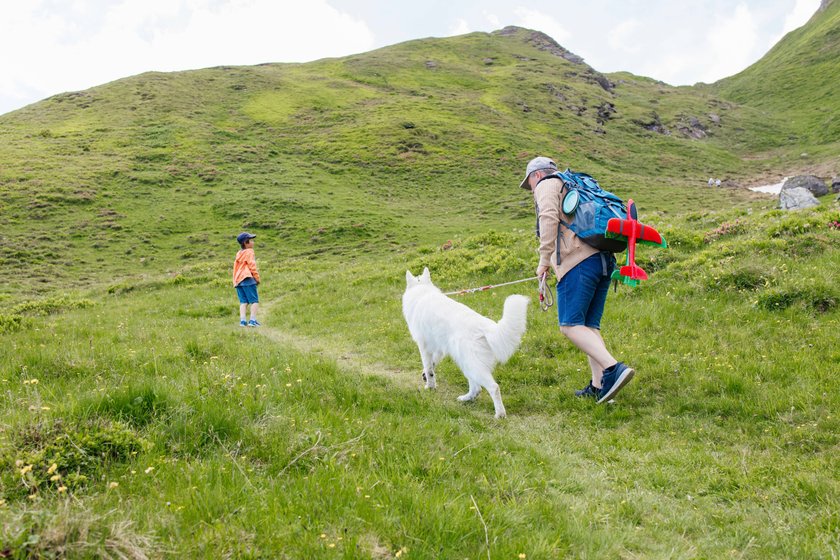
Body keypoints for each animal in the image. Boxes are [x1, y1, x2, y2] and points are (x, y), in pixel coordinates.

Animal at [402, 270, 532, 418]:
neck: (422, 292)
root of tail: (485, 326)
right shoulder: (439, 349)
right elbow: (432, 365)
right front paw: (425, 377)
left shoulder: (424, 347)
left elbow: (429, 369)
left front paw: (430, 386)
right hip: (466, 364)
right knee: (477, 388)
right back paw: (466, 399)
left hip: (471, 364)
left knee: (493, 387)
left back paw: (500, 414)